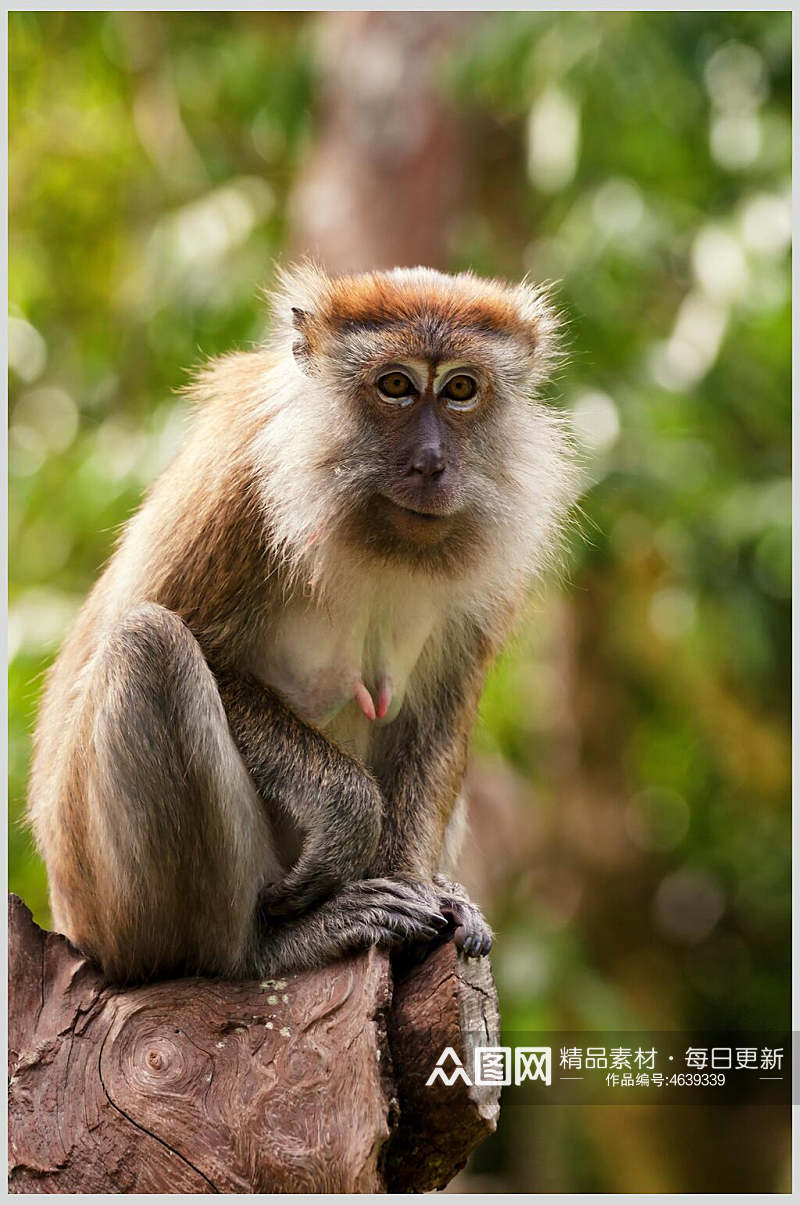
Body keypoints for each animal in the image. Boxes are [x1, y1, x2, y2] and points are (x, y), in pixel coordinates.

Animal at [25, 261, 575, 978]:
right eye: (395, 385)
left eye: (460, 389)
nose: (432, 462)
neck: (370, 526)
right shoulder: (241, 478)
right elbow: (180, 641)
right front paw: (349, 814)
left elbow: (440, 710)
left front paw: (418, 887)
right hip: (107, 904)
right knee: (150, 646)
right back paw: (264, 948)